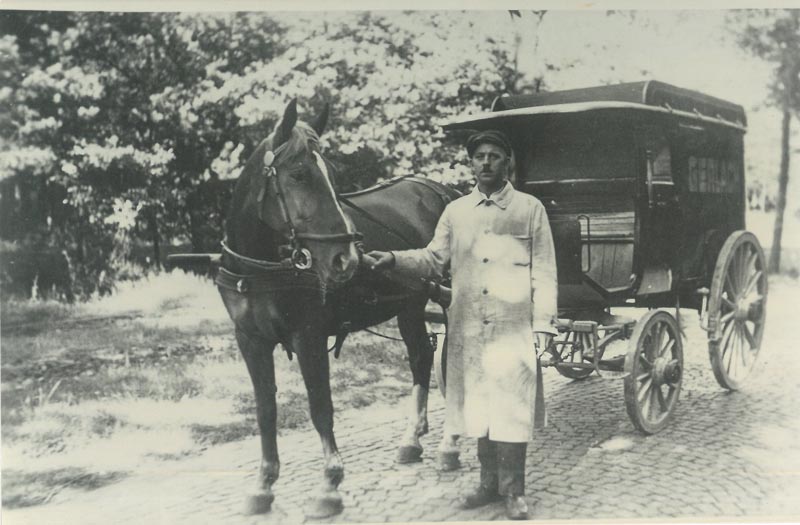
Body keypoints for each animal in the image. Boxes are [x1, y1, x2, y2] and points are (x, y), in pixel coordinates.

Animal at [216, 99, 460, 516]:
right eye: (299, 174)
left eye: (330, 173)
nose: (346, 258)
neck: (261, 266)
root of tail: (441, 188)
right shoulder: (250, 340)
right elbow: (265, 411)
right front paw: (264, 485)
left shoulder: (309, 337)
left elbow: (321, 407)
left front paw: (329, 485)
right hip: (410, 305)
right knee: (420, 358)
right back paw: (412, 440)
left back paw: (449, 444)